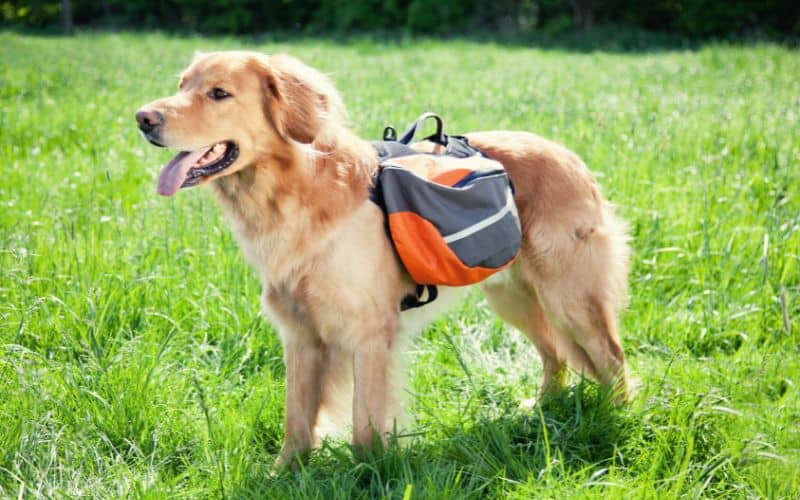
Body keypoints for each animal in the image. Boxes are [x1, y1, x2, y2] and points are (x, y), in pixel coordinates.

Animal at [136, 49, 632, 464]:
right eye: (182, 84)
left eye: (219, 93)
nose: (142, 118)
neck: (290, 195)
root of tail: (570, 156)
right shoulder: (300, 333)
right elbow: (297, 419)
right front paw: (286, 473)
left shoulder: (370, 331)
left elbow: (363, 423)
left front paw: (367, 472)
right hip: (514, 297)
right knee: (556, 355)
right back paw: (542, 408)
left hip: (570, 297)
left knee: (612, 358)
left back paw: (614, 418)